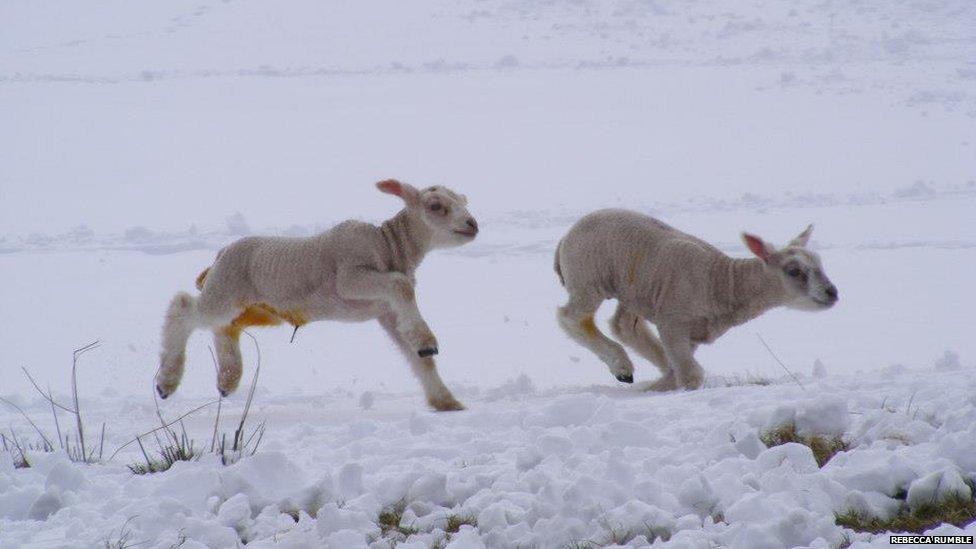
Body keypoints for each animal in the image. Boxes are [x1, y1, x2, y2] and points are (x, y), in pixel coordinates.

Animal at [152, 180, 480, 412]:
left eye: (463, 202)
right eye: (436, 205)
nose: (473, 224)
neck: (390, 246)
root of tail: (220, 254)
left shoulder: (387, 311)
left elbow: (418, 357)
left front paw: (446, 400)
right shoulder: (351, 276)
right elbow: (402, 285)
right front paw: (428, 341)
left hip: (256, 308)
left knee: (225, 328)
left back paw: (228, 379)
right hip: (225, 291)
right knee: (183, 308)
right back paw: (167, 380)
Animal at [556, 209, 840, 390]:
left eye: (820, 263)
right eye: (794, 271)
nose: (832, 292)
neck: (725, 282)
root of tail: (563, 240)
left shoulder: (692, 334)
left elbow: (679, 371)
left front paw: (659, 387)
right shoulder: (673, 323)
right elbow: (691, 375)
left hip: (635, 288)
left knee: (624, 324)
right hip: (589, 278)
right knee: (571, 318)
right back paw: (621, 366)